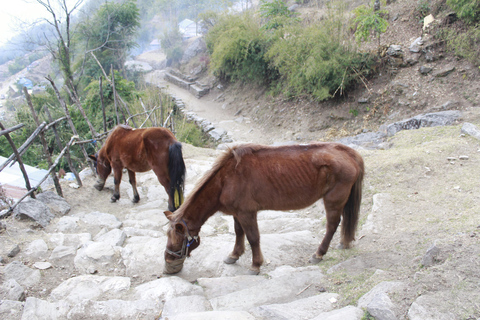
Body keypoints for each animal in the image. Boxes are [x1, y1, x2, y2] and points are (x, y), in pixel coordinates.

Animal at [164, 142, 364, 276]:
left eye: (178, 239)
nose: (168, 259)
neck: (226, 179)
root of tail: (349, 152)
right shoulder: (237, 213)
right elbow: (239, 233)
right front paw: (234, 255)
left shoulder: (247, 213)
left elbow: (253, 237)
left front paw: (255, 265)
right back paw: (344, 242)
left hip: (333, 200)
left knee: (332, 225)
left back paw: (319, 254)